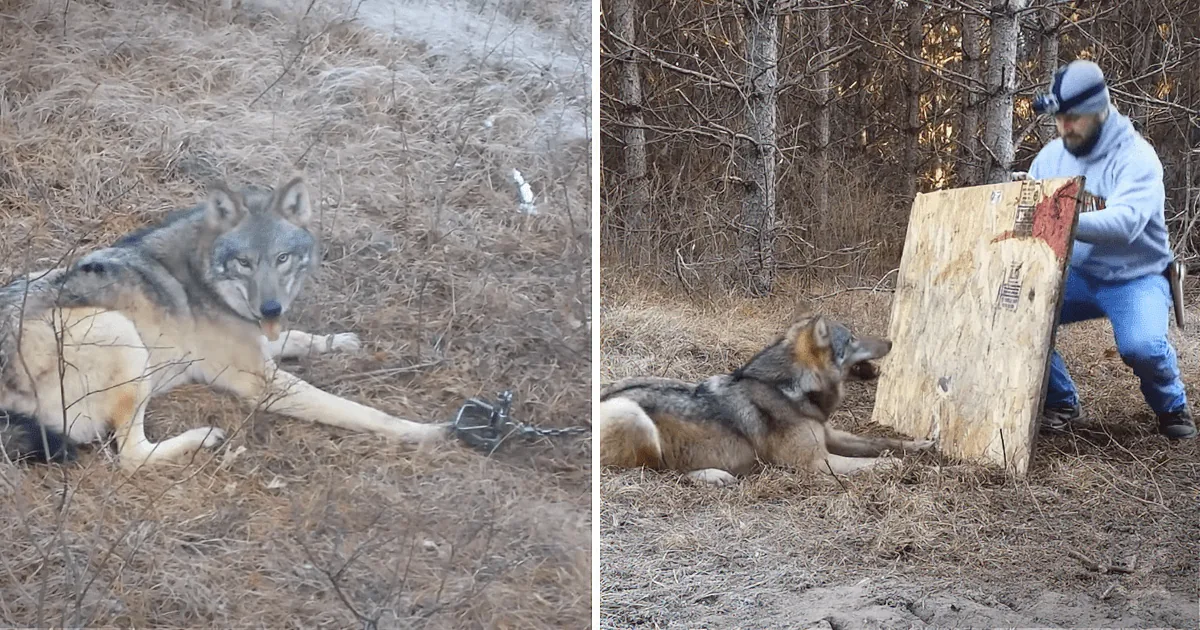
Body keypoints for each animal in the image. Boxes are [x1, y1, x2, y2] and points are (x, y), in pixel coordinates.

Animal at [0, 176, 448, 471]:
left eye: (282, 258)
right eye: (244, 263)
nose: (270, 308)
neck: (206, 280)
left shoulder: (263, 340)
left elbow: (300, 336)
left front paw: (340, 342)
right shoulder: (262, 383)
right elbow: (359, 411)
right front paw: (428, 430)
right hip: (119, 332)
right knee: (131, 456)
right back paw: (202, 438)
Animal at [597, 315, 935, 485]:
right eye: (851, 339)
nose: (891, 341)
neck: (790, 388)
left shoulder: (831, 436)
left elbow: (881, 441)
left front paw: (921, 446)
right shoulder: (817, 462)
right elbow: (874, 463)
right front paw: (909, 468)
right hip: (635, 418)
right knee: (660, 471)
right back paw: (713, 475)